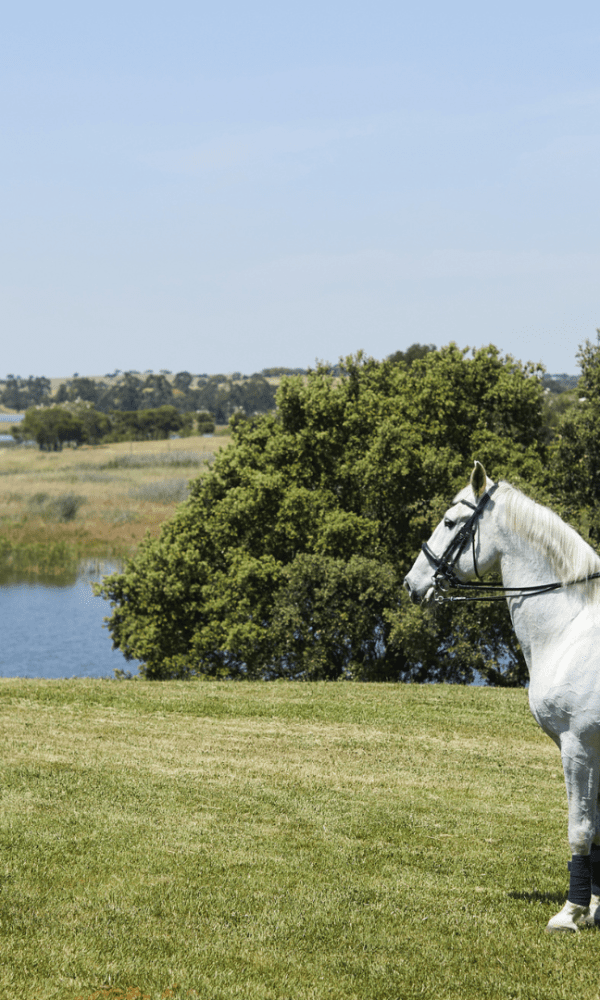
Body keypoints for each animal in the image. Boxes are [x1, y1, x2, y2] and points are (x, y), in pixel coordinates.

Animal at [404, 460, 600, 928]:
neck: (570, 628)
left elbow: (581, 829)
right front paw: (594, 909)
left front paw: (572, 912)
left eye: (450, 522)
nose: (412, 583)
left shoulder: (578, 745)